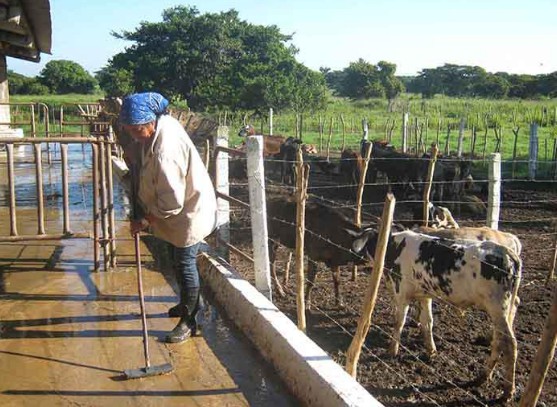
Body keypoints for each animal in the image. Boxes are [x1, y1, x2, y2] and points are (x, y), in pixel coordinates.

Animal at [352, 230, 520, 402]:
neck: (396, 245)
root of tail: (507, 252)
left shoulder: (402, 291)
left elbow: (399, 321)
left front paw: (392, 350)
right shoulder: (424, 295)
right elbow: (427, 322)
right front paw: (431, 351)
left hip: (497, 306)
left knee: (510, 343)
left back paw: (508, 391)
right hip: (502, 311)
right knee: (499, 340)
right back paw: (483, 376)